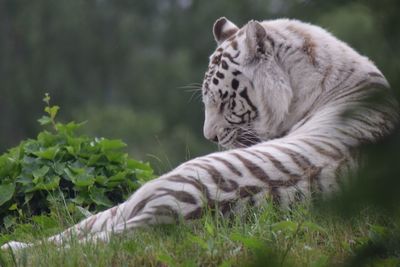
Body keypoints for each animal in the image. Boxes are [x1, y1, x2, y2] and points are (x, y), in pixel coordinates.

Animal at [2, 17, 396, 252]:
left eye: (224, 101)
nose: (210, 137)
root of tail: (166, 214)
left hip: (147, 192)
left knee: (78, 233)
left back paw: (15, 250)